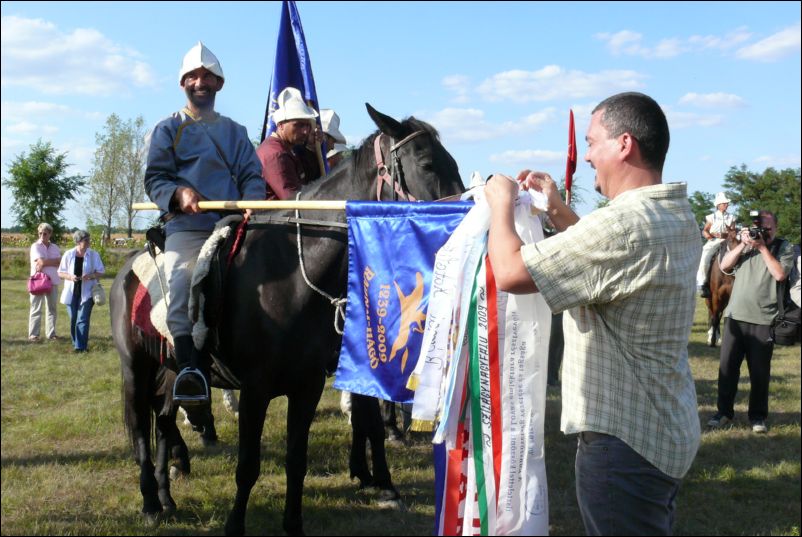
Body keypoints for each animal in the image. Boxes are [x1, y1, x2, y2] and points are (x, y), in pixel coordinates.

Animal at [111, 104, 465, 535]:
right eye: (427, 164)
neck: (295, 272)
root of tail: (128, 267)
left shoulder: (308, 385)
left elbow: (301, 459)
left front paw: (308, 516)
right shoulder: (256, 389)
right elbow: (248, 465)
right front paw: (235, 525)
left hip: (168, 367)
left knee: (162, 422)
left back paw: (166, 495)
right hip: (136, 368)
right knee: (140, 430)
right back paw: (150, 500)